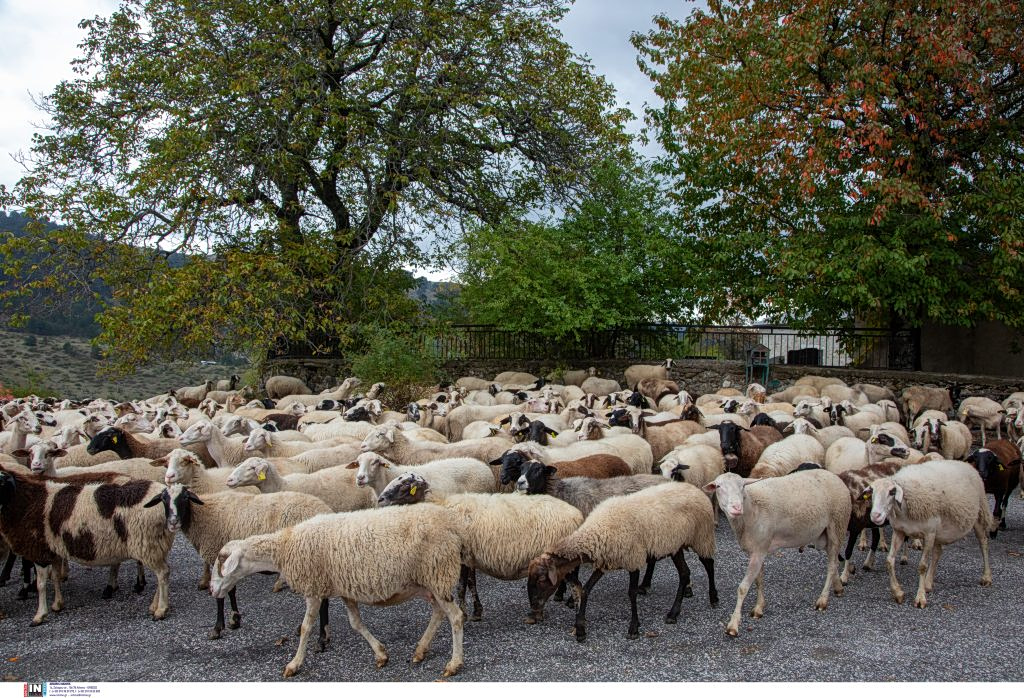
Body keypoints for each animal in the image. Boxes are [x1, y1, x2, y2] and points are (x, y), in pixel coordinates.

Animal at [526, 481, 717, 641]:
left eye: (541, 580)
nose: (533, 607)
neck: (596, 530)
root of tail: (694, 488)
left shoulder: (633, 559)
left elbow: (631, 593)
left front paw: (634, 628)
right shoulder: (604, 562)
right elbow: (586, 590)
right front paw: (580, 628)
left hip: (702, 536)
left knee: (709, 564)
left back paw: (714, 598)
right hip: (675, 545)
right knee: (685, 573)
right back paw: (673, 614)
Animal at [704, 469, 849, 635]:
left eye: (742, 486)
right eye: (718, 486)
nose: (736, 508)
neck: (751, 508)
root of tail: (835, 476)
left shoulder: (760, 548)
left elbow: (743, 587)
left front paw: (733, 625)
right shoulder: (757, 550)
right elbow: (758, 580)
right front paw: (759, 608)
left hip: (838, 524)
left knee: (831, 565)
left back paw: (823, 600)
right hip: (823, 534)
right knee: (834, 561)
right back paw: (838, 587)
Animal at [867, 460, 994, 608]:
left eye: (892, 492)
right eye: (872, 492)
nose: (875, 516)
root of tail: (965, 463)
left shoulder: (929, 533)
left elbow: (922, 566)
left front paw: (920, 598)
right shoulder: (900, 531)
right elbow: (889, 561)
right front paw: (898, 593)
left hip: (978, 515)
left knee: (983, 544)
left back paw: (986, 577)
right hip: (939, 531)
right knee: (938, 552)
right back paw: (928, 583)